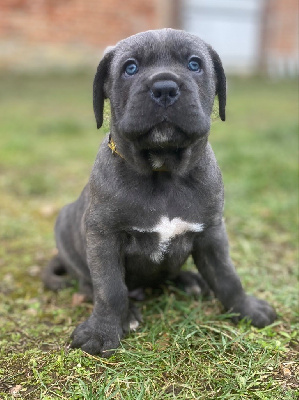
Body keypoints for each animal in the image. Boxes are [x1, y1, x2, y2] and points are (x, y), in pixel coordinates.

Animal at [42, 29, 276, 358]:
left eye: (194, 64)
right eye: (130, 68)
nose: (164, 88)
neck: (163, 172)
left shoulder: (212, 232)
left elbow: (227, 276)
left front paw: (247, 309)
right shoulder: (103, 236)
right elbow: (109, 287)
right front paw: (102, 332)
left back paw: (191, 281)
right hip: (64, 229)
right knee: (89, 283)